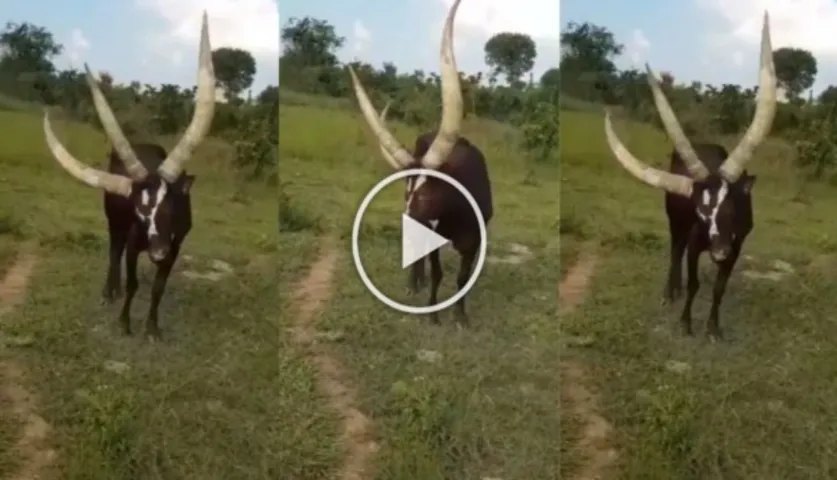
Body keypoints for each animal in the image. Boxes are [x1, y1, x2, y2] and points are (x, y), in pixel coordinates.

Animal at [42, 12, 216, 341]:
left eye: (171, 206)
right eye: (141, 212)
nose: (158, 251)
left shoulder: (176, 244)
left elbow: (159, 288)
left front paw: (152, 327)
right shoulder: (136, 240)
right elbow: (133, 282)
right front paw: (124, 322)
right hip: (113, 220)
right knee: (114, 250)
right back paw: (110, 290)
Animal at [348, 0, 493, 327]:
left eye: (427, 195)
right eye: (406, 191)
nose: (406, 222)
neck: (457, 210)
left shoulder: (475, 240)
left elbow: (463, 278)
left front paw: (460, 316)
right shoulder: (431, 234)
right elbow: (438, 273)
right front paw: (433, 313)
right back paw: (415, 284)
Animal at [602, 12, 777, 341]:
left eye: (732, 209)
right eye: (702, 214)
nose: (718, 251)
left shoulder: (737, 246)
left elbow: (719, 289)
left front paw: (713, 327)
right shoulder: (697, 240)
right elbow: (695, 281)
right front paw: (685, 323)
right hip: (675, 221)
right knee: (675, 250)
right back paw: (671, 291)